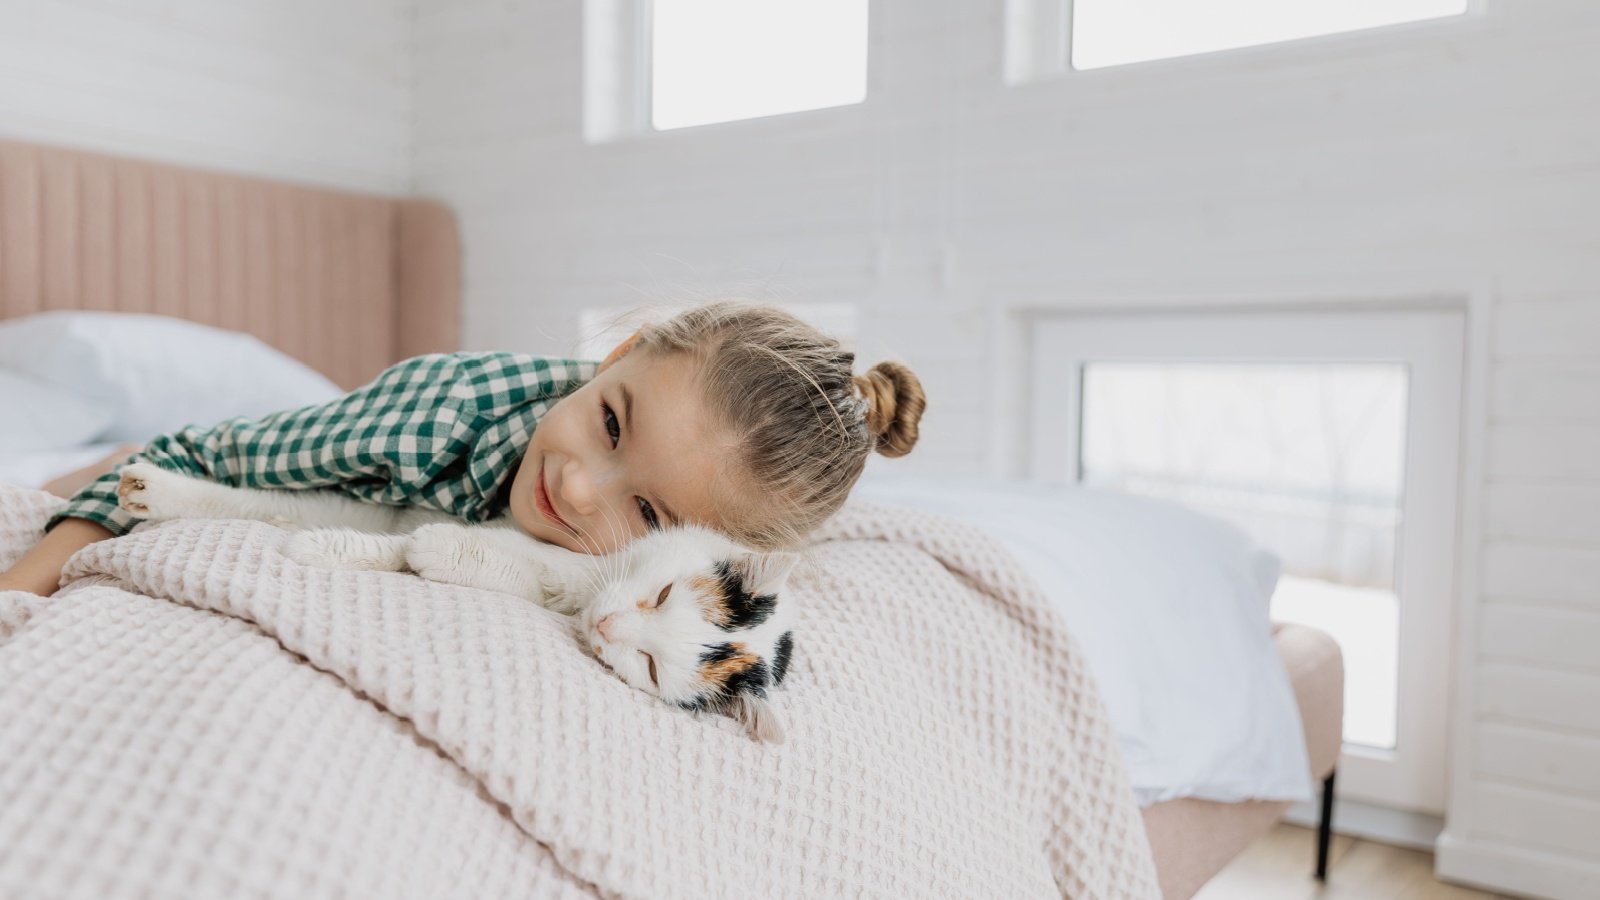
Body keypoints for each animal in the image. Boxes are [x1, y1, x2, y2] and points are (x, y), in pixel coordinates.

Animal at [112, 458, 800, 739]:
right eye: (661, 594)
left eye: (651, 667)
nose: (605, 625)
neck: (582, 591)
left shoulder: (535, 572)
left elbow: (424, 552)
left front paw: (393, 552)